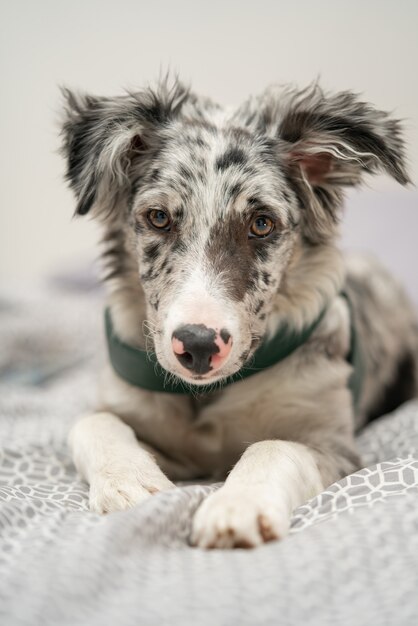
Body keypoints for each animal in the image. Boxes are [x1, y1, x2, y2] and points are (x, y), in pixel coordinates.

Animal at [60, 77, 416, 544]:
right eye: (158, 217)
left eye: (261, 224)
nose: (197, 346)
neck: (207, 396)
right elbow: (92, 422)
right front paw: (130, 484)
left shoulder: (335, 446)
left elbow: (273, 446)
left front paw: (236, 506)